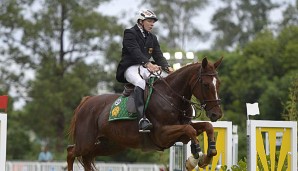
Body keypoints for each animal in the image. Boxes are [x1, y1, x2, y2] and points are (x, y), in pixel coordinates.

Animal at [66, 57, 222, 171]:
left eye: (218, 84)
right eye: (206, 85)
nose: (217, 114)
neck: (172, 97)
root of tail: (86, 101)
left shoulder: (180, 131)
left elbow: (206, 126)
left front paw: (209, 155)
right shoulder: (162, 135)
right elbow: (190, 130)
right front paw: (195, 156)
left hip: (109, 145)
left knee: (86, 157)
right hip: (85, 143)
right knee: (70, 152)